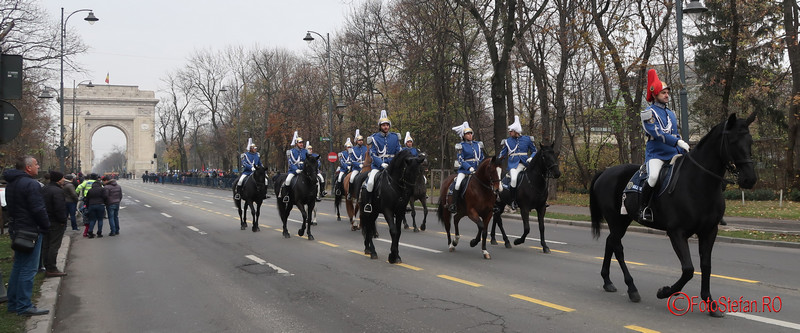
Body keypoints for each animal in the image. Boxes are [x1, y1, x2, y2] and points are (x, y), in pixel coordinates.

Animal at [588, 112, 756, 314]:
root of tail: (605, 172)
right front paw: (665, 292)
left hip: (623, 220)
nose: (750, 179)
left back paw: (607, 281)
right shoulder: (676, 232)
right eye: (732, 141)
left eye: (750, 141)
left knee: (610, 243)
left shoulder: (709, 231)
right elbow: (688, 269)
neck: (698, 182)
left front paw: (710, 302)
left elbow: (705, 266)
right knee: (617, 247)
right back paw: (632, 288)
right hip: (615, 220)